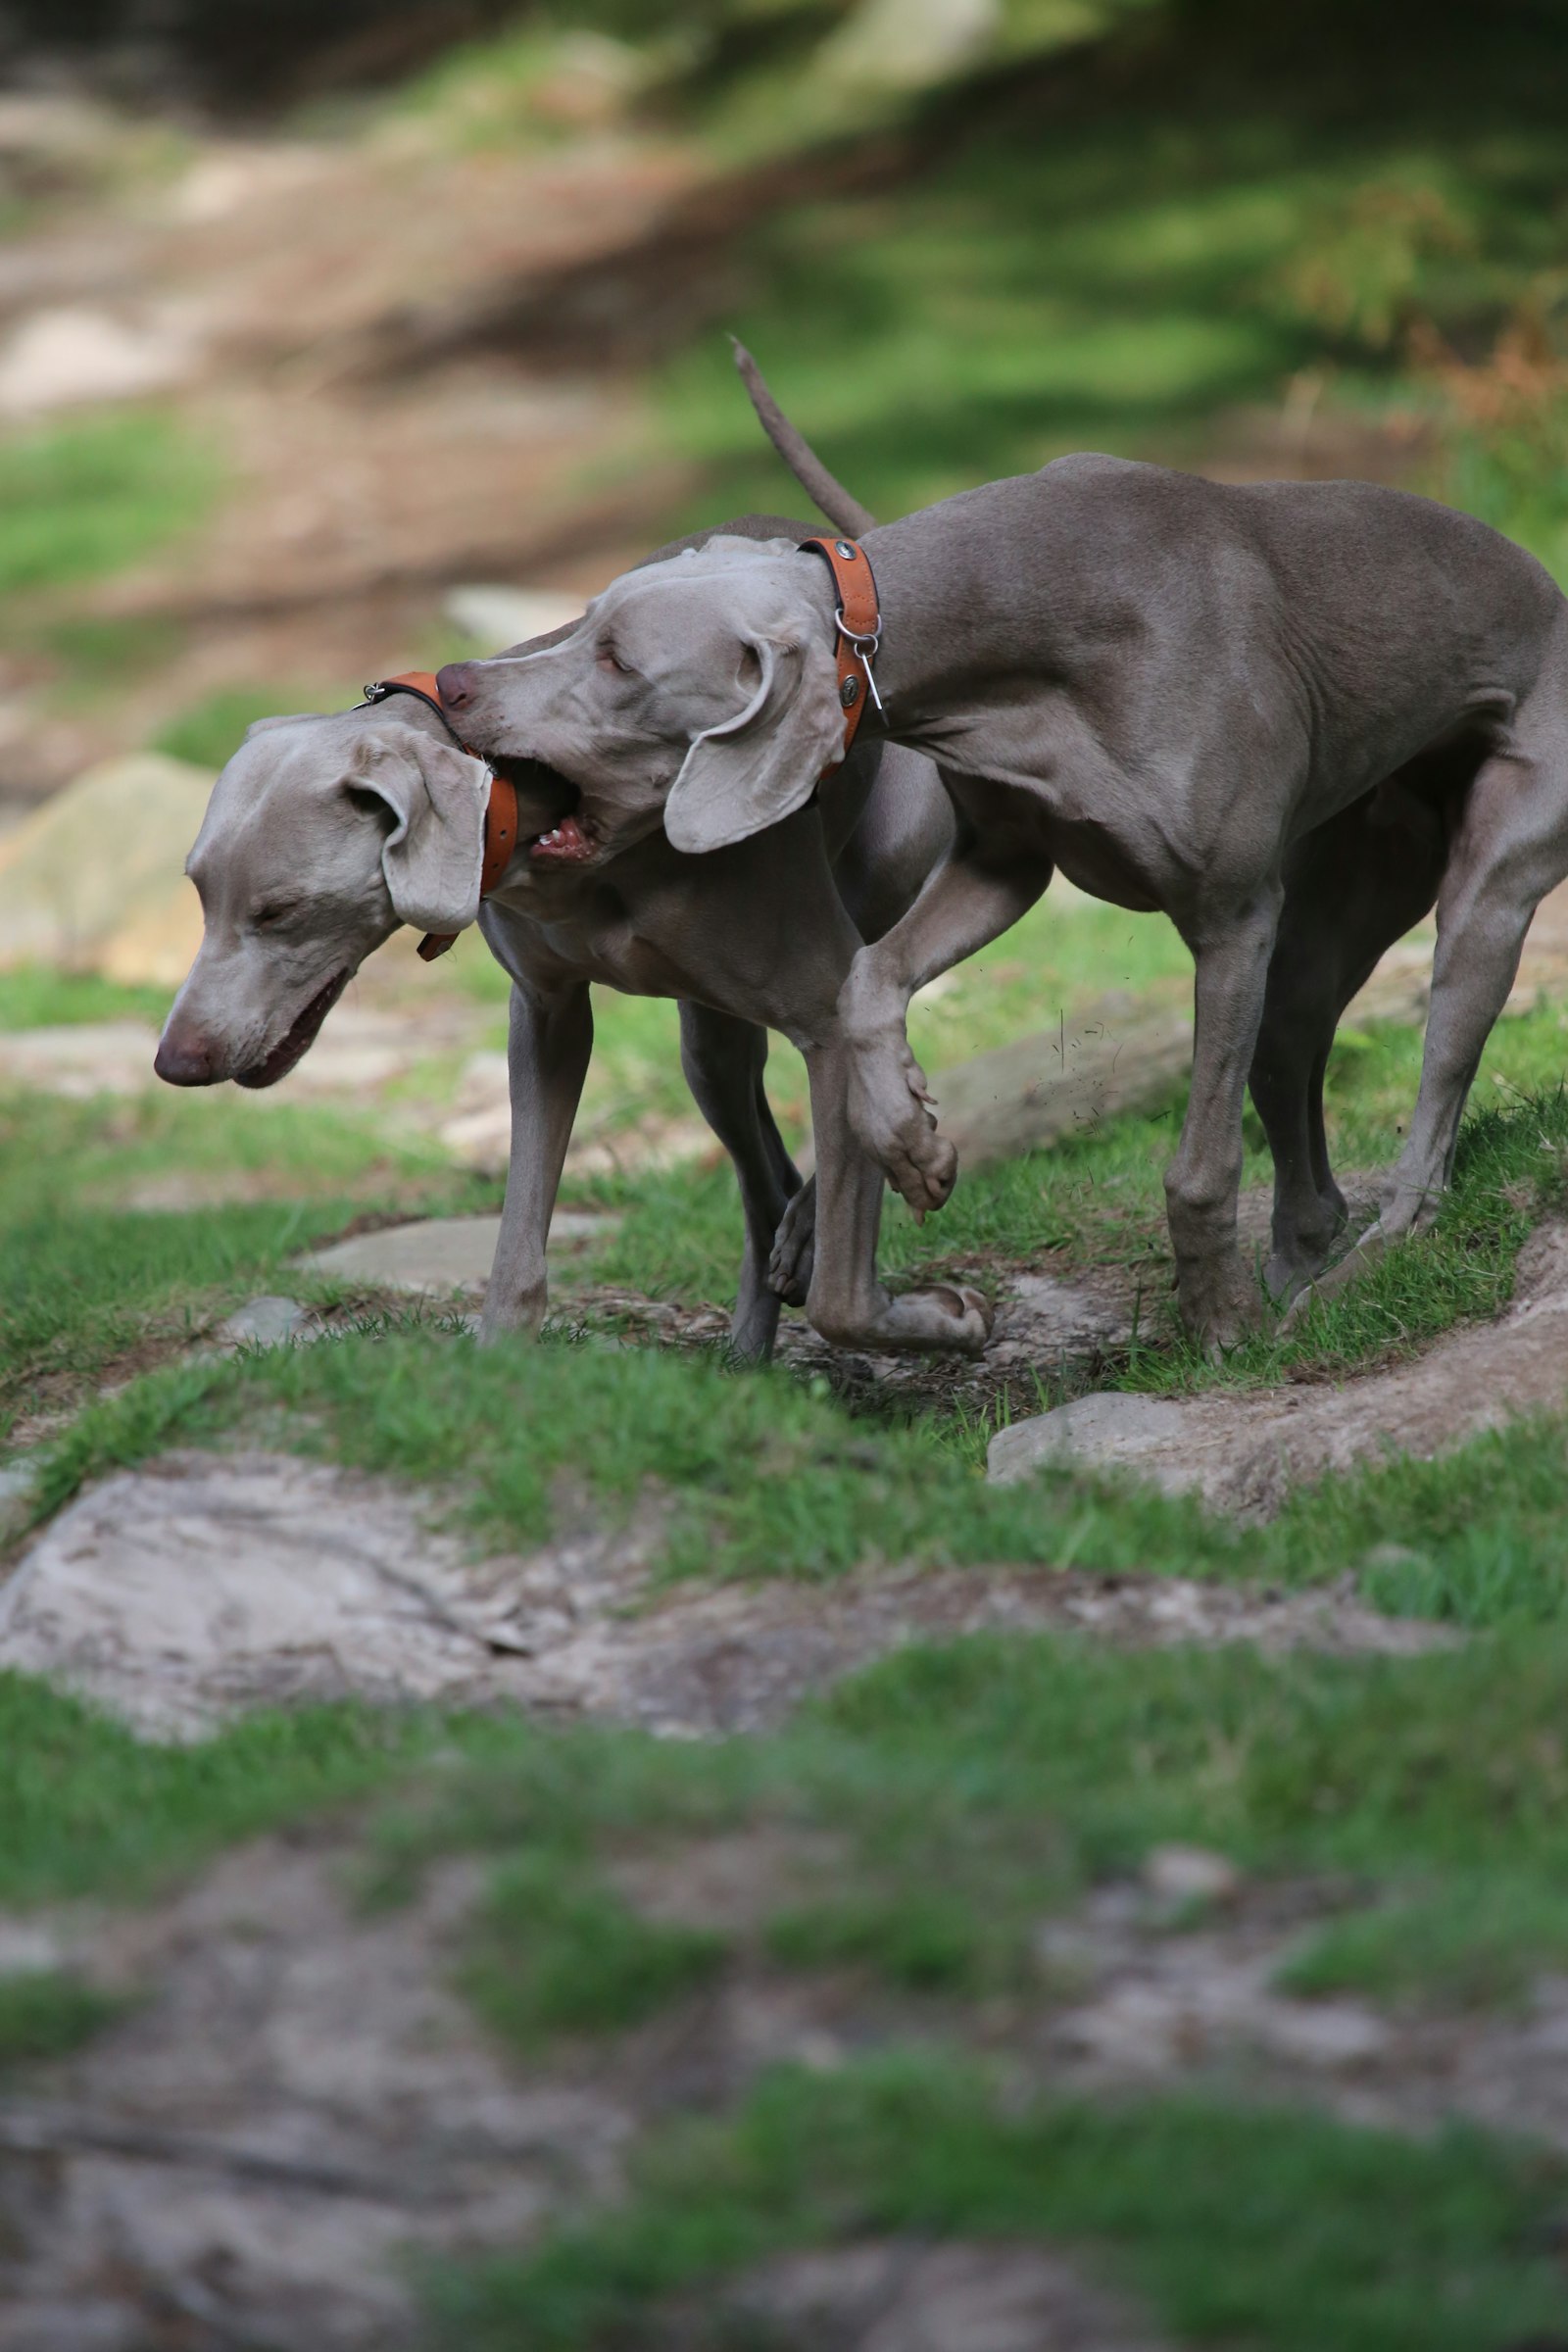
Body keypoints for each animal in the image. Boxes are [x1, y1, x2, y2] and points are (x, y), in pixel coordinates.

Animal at [439, 449, 1568, 1354]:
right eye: (584, 619)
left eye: (616, 658)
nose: (450, 683)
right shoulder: (1001, 862)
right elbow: (864, 985)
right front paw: (912, 1139)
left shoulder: (1230, 917)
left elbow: (1199, 1168)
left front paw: (1220, 1327)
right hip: (1335, 897)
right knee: (1295, 1060)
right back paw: (1299, 1254)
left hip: (1486, 880)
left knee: (1437, 1082)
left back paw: (1366, 1262)